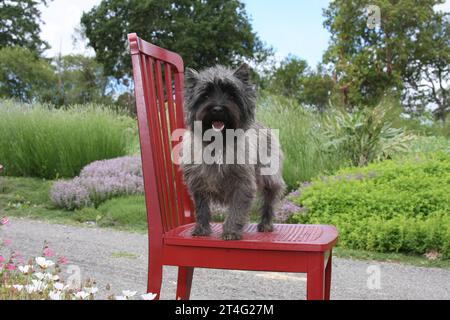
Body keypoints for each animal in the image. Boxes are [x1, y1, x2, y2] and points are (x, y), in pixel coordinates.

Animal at [179, 63, 284, 240]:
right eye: (205, 95)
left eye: (231, 95)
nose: (217, 109)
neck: (218, 143)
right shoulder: (198, 184)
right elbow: (201, 208)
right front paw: (201, 229)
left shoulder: (242, 184)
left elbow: (236, 210)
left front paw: (230, 232)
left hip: (269, 177)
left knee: (270, 198)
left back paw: (265, 224)